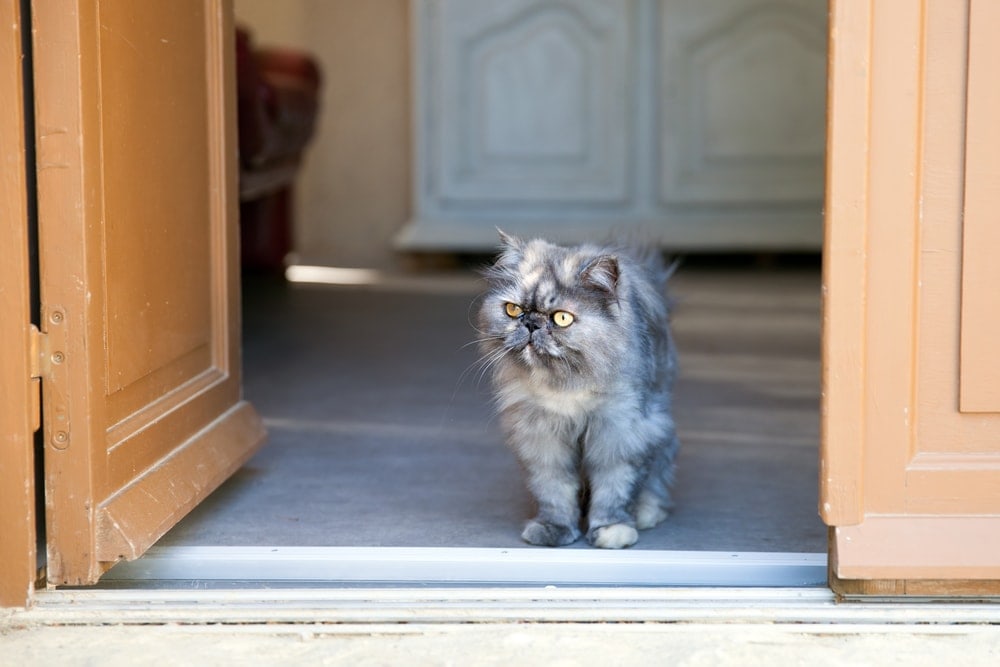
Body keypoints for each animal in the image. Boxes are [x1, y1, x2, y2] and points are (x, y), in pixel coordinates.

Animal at [476, 232, 680, 552]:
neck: (566, 388)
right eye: (513, 310)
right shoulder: (543, 438)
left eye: (561, 318)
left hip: (659, 433)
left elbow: (614, 491)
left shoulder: (620, 434)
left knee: (655, 482)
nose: (531, 323)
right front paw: (553, 530)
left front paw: (611, 531)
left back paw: (645, 514)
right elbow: (554, 492)